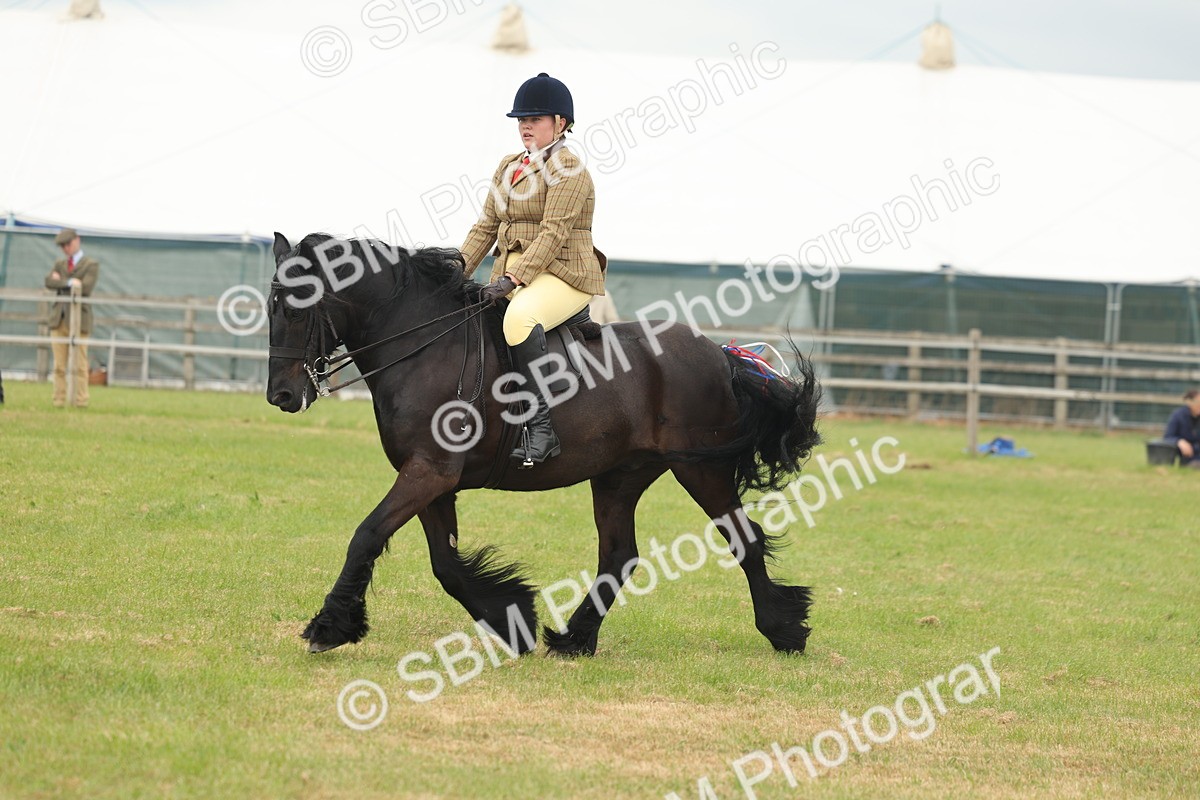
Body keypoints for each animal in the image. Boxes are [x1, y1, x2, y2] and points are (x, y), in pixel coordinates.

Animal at [265, 232, 822, 657]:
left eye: (296, 309)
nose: (281, 396)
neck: (422, 348)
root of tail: (718, 353)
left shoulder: (429, 472)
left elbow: (367, 535)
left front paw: (327, 628)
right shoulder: (430, 478)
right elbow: (445, 564)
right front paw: (512, 618)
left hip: (699, 470)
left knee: (744, 539)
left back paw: (784, 631)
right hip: (620, 476)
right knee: (619, 555)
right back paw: (575, 639)